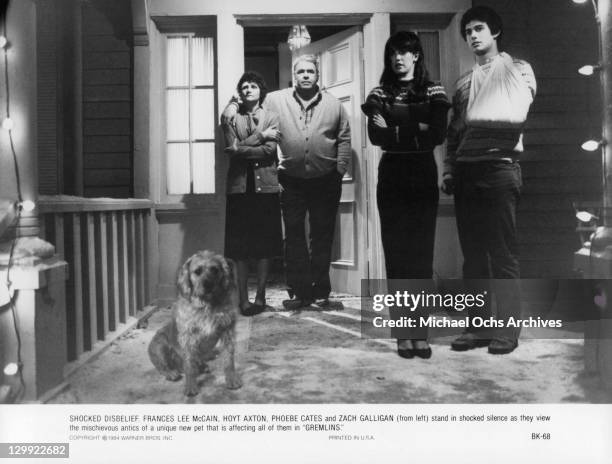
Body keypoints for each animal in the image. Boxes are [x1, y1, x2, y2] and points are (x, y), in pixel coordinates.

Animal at [148, 250, 241, 396]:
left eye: (215, 270)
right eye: (197, 271)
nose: (208, 285)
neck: (207, 305)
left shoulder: (228, 332)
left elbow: (229, 360)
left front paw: (231, 379)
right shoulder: (188, 337)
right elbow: (190, 365)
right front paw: (191, 386)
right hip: (160, 345)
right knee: (162, 366)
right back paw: (171, 373)